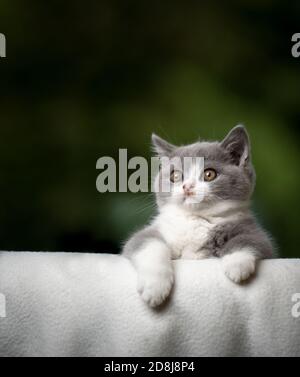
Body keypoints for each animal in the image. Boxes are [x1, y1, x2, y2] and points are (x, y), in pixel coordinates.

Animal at [122, 125, 274, 306]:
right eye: (175, 175)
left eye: (209, 174)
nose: (187, 186)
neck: (196, 218)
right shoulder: (154, 231)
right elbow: (146, 242)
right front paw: (155, 286)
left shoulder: (252, 229)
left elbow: (252, 239)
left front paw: (236, 263)